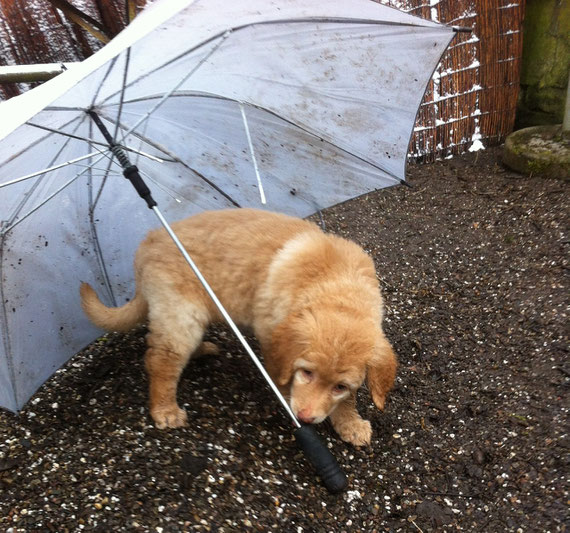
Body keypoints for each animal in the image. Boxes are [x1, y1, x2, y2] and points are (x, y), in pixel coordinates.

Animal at [81, 208, 394, 444]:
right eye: (306, 372)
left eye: (339, 386)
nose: (304, 418)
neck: (337, 286)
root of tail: (148, 242)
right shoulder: (270, 334)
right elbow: (280, 374)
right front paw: (286, 399)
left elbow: (349, 398)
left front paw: (350, 422)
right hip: (180, 313)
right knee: (161, 360)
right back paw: (165, 409)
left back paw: (201, 350)